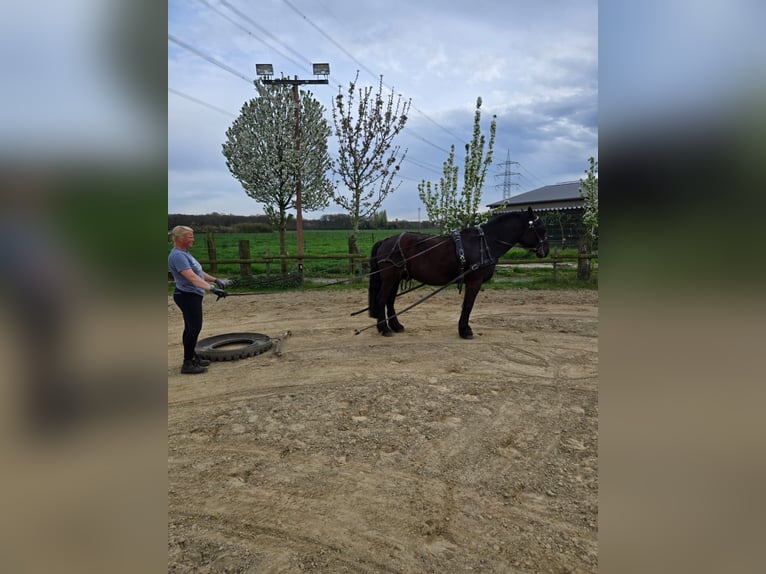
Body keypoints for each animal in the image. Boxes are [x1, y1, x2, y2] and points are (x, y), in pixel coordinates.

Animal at [367, 207, 549, 339]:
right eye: (541, 228)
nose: (545, 251)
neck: (484, 243)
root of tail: (386, 241)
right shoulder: (475, 281)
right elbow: (468, 305)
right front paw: (465, 330)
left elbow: (467, 305)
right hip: (390, 277)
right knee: (382, 299)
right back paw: (384, 329)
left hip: (396, 278)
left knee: (390, 301)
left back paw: (396, 326)